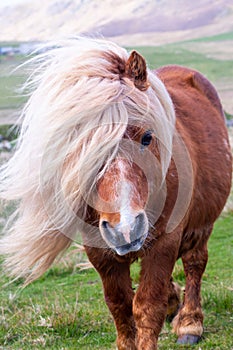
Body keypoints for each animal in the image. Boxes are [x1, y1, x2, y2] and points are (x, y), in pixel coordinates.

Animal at [0, 37, 232, 348]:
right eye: (82, 146)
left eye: (147, 137)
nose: (126, 228)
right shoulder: (98, 250)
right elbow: (120, 305)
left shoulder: (165, 241)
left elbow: (147, 305)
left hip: (202, 223)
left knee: (195, 263)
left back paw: (189, 324)